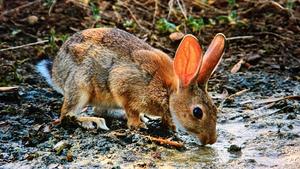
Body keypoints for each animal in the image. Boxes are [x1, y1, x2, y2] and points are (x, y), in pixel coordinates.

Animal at [37, 28, 225, 145]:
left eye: (215, 109)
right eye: (197, 112)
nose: (211, 140)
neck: (168, 91)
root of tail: (56, 71)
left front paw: (170, 126)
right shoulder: (124, 87)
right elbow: (131, 109)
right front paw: (137, 125)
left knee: (99, 110)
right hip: (80, 87)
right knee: (66, 115)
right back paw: (92, 122)